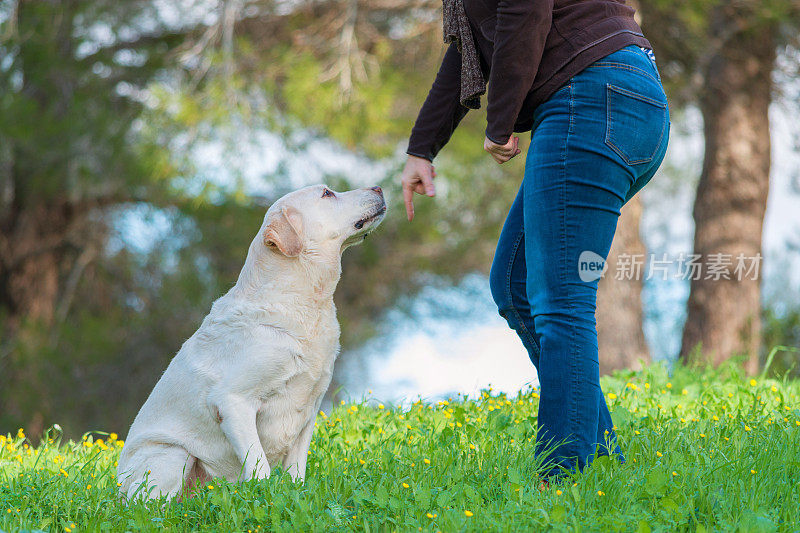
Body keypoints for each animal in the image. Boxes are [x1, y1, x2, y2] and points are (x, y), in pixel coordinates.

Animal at [116, 184, 388, 498]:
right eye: (327, 194)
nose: (379, 187)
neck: (303, 302)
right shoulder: (232, 401)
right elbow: (260, 467)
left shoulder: (309, 409)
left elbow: (297, 470)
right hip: (173, 455)